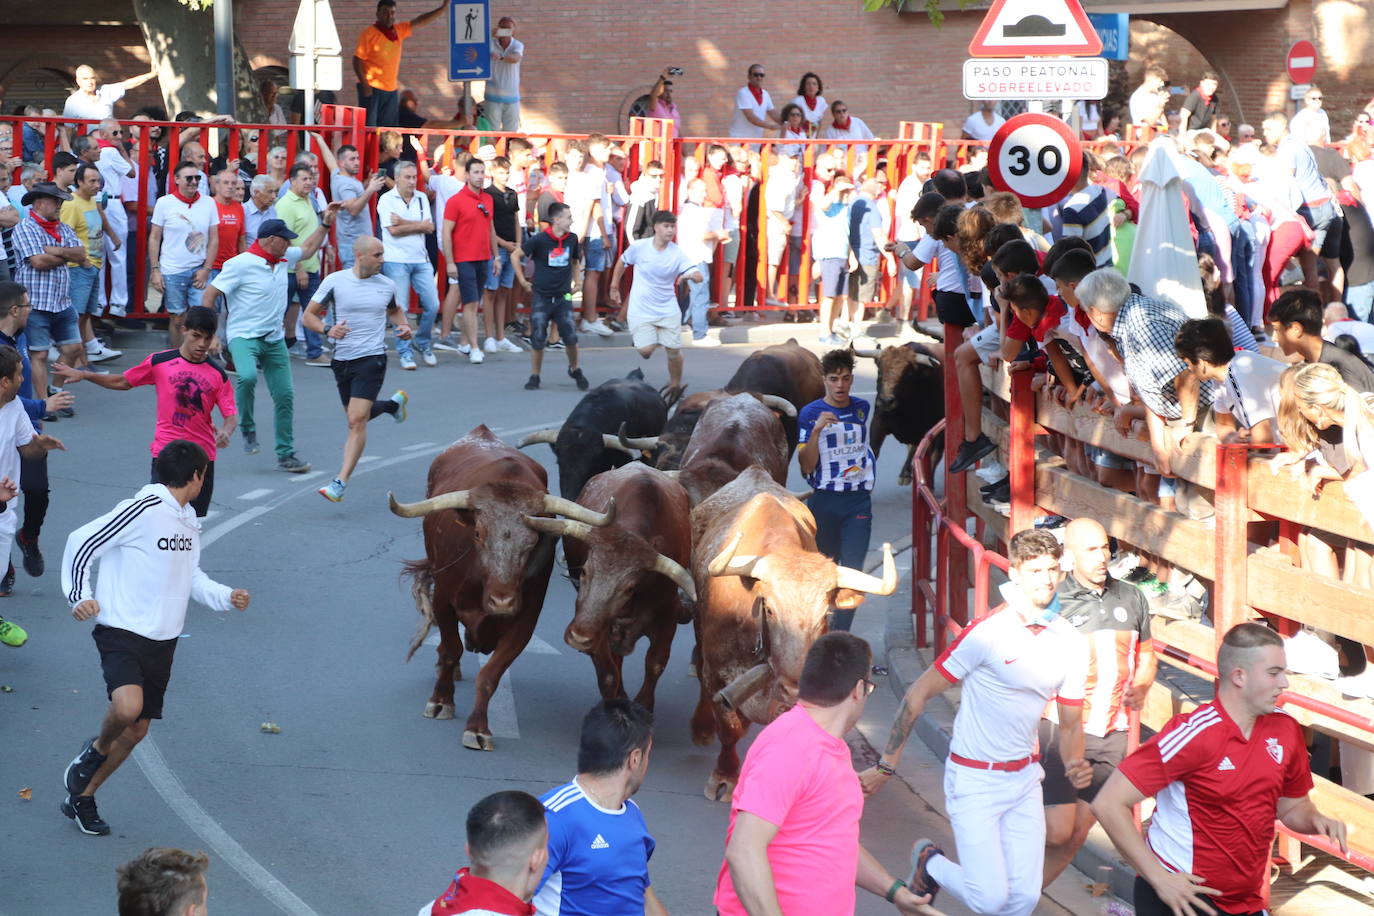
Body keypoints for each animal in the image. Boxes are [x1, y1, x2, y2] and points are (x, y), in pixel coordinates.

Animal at [395, 425, 615, 747]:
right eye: (477, 533)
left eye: (533, 541)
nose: (502, 601)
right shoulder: (444, 602)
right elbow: (451, 650)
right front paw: (440, 701)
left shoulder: (525, 619)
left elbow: (491, 674)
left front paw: (477, 728)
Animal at [527, 466, 697, 708]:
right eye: (585, 571)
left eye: (629, 587)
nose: (579, 638)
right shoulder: (598, 628)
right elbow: (608, 675)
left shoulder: (668, 617)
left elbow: (655, 664)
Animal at [687, 469, 901, 796]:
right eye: (770, 610)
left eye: (825, 614)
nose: (793, 688)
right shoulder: (717, 672)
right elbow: (729, 727)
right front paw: (724, 776)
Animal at [846, 341, 945, 483]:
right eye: (880, 371)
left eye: (908, 374)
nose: (886, 401)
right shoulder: (878, 423)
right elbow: (874, 452)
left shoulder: (928, 432)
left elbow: (926, 455)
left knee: (935, 455)